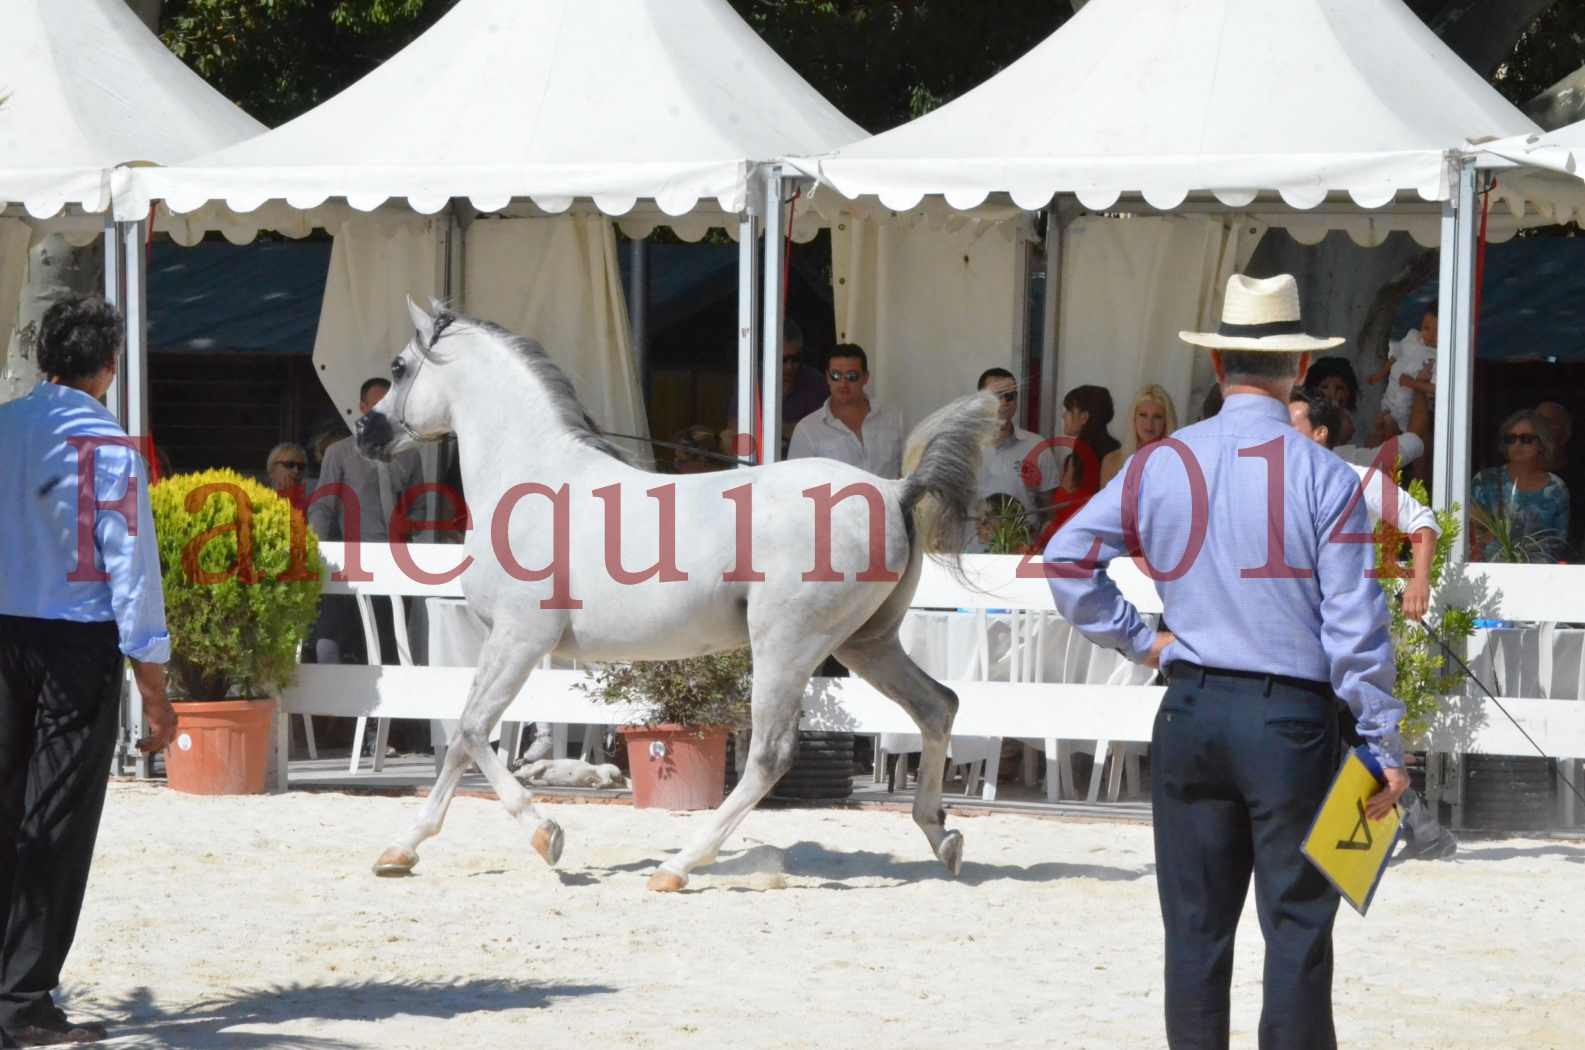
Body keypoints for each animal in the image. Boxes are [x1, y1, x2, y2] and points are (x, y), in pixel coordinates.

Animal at [362, 299, 989, 894]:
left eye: (398, 367)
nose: (367, 432)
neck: (530, 482)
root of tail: (893, 488)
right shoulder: (507, 642)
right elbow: (461, 738)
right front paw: (400, 851)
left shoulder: (521, 637)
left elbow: (471, 729)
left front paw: (548, 836)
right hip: (867, 643)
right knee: (938, 706)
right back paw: (943, 836)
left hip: (787, 645)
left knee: (770, 755)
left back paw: (679, 866)